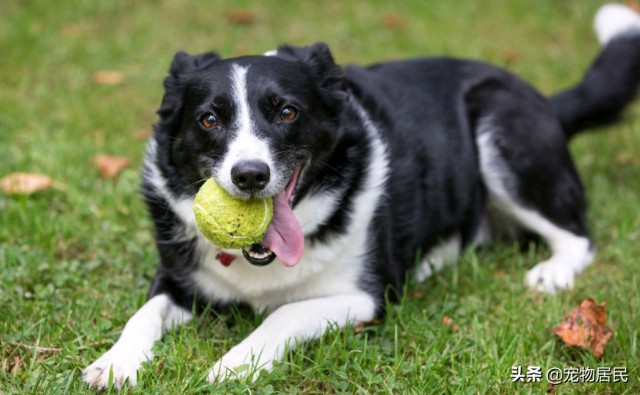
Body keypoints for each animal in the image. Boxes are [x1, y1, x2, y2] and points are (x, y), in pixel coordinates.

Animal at [82, 4, 640, 392]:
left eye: (286, 112)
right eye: (209, 119)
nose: (250, 176)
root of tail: (543, 99)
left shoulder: (366, 296)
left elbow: (284, 314)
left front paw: (233, 365)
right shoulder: (179, 279)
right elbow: (143, 313)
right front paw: (114, 363)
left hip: (500, 128)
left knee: (578, 235)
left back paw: (553, 271)